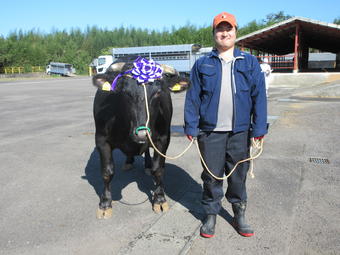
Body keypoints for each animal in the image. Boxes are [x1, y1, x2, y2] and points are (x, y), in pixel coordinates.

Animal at [91, 58, 190, 218]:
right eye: (125, 93)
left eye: (158, 92)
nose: (142, 133)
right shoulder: (101, 140)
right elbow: (107, 172)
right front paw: (105, 204)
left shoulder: (163, 139)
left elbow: (159, 170)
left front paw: (159, 200)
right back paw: (128, 161)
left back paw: (147, 165)